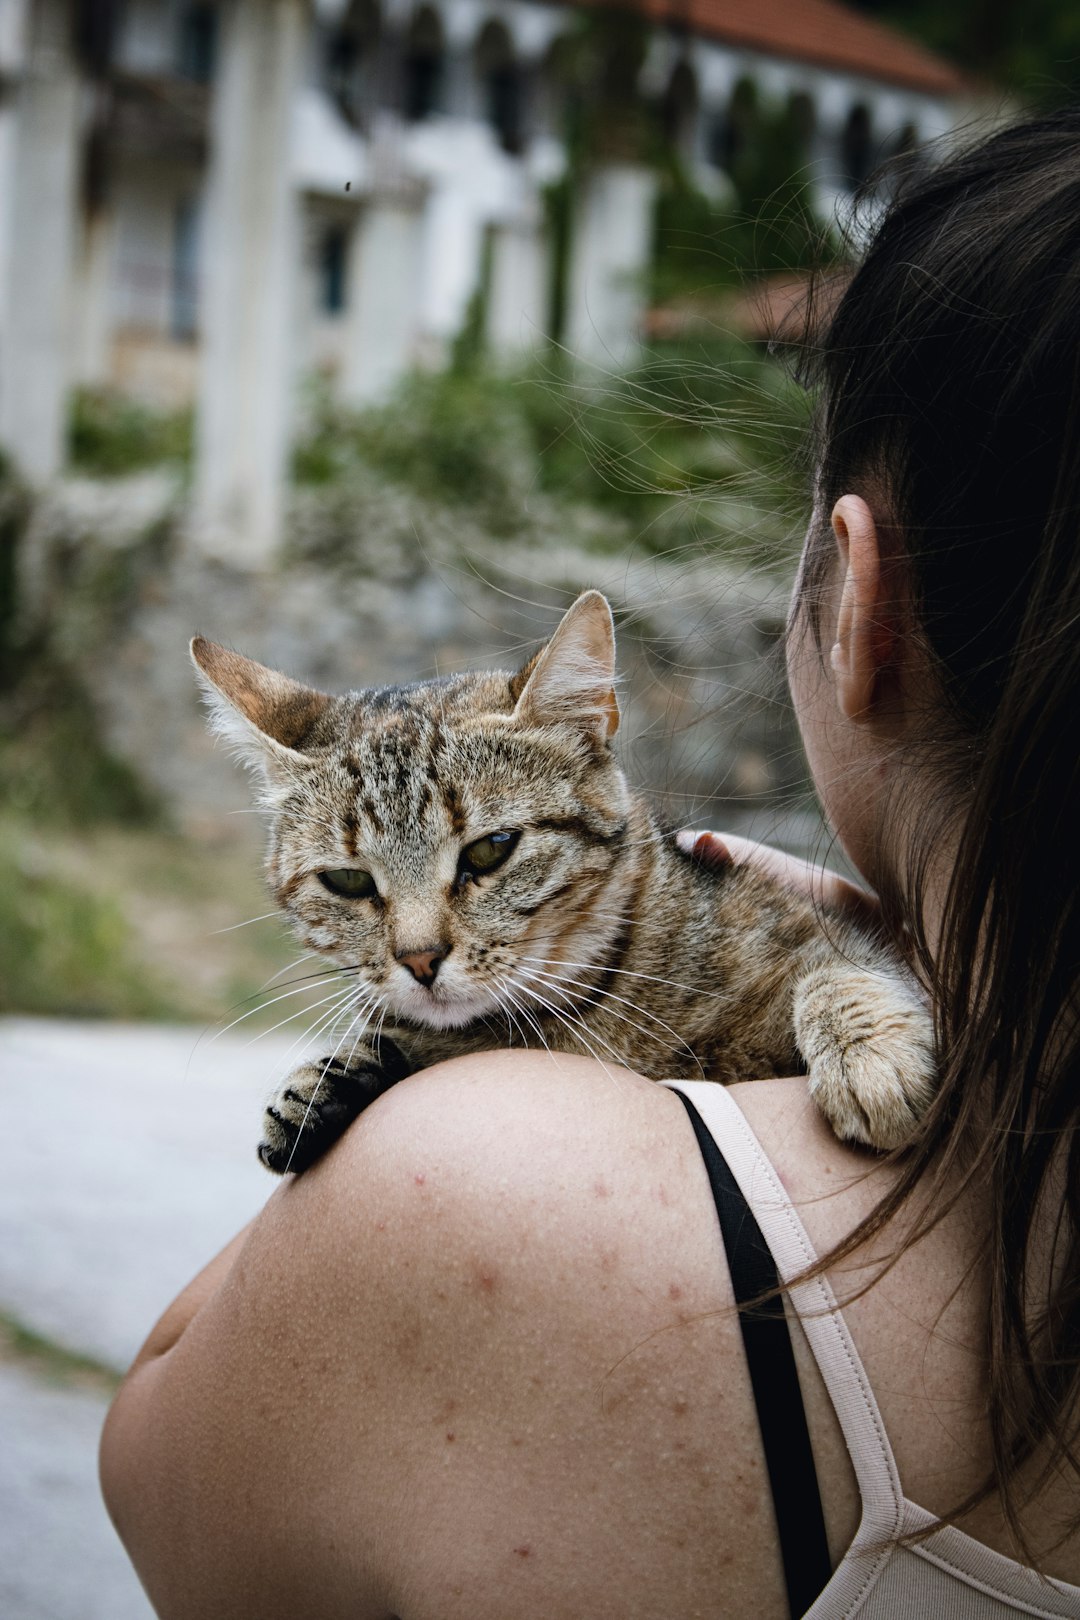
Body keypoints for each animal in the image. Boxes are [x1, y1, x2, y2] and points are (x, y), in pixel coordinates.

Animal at [190, 589, 932, 1172]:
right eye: (346, 880)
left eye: (490, 850)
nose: (420, 960)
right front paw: (321, 1084)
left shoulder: (820, 931)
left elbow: (837, 965)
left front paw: (870, 1053)